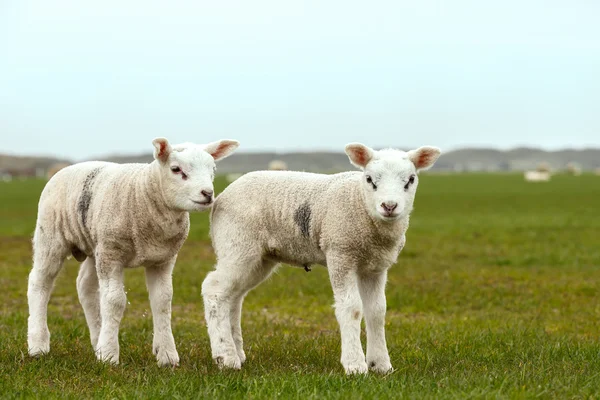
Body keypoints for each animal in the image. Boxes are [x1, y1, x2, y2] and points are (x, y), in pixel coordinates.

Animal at [27, 137, 239, 366]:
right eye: (176, 169)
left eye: (213, 169)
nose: (207, 194)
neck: (143, 193)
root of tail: (67, 168)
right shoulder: (112, 254)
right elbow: (114, 301)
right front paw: (109, 355)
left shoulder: (162, 259)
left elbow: (162, 301)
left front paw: (167, 355)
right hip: (51, 237)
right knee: (40, 283)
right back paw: (38, 344)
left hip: (96, 246)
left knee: (85, 287)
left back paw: (97, 340)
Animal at [202, 144, 440, 376]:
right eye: (369, 179)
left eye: (410, 179)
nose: (389, 206)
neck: (360, 203)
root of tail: (221, 197)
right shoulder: (340, 254)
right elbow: (352, 308)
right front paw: (355, 365)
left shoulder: (375, 266)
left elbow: (377, 311)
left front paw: (380, 365)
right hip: (237, 245)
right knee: (214, 289)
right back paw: (226, 357)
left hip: (259, 259)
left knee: (233, 296)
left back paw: (236, 351)